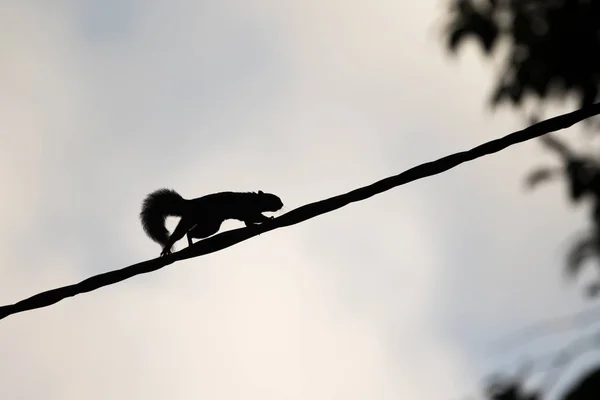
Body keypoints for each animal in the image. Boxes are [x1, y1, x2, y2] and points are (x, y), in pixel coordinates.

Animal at [141, 188, 284, 256]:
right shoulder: (249, 211)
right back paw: (171, 247)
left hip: (208, 224)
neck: (254, 200)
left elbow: (248, 222)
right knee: (183, 233)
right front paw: (269, 219)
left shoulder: (247, 215)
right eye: (272, 198)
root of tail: (191, 203)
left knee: (189, 232)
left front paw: (254, 226)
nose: (282, 204)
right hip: (200, 222)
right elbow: (256, 217)